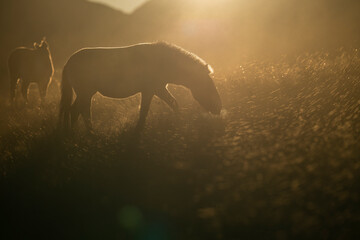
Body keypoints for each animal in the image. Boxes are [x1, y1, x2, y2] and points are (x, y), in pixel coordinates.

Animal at [58, 41, 221, 131]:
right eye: (208, 86)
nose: (218, 109)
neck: (163, 61)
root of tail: (68, 62)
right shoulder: (151, 90)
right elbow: (144, 112)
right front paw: (138, 131)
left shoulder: (159, 88)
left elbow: (174, 104)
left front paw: (179, 123)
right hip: (85, 92)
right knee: (80, 111)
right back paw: (89, 135)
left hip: (85, 93)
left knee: (75, 111)